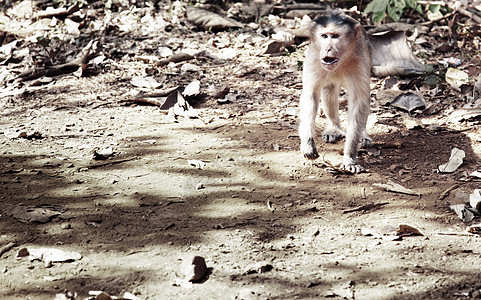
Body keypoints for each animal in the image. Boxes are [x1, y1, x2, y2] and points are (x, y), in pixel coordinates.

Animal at [296, 10, 372, 173]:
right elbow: (310, 96)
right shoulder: (314, 59)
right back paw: (334, 128)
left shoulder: (361, 61)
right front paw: (307, 143)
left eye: (335, 36)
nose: (328, 48)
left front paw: (350, 156)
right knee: (329, 89)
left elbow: (359, 101)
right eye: (324, 36)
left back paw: (362, 134)